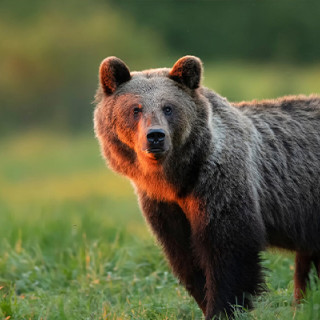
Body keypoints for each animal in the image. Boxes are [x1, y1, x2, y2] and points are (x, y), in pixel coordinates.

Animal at [94, 56, 320, 318]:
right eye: (135, 109)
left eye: (168, 107)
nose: (155, 136)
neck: (178, 179)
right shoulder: (164, 205)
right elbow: (186, 257)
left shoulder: (218, 185)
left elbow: (228, 251)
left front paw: (222, 308)